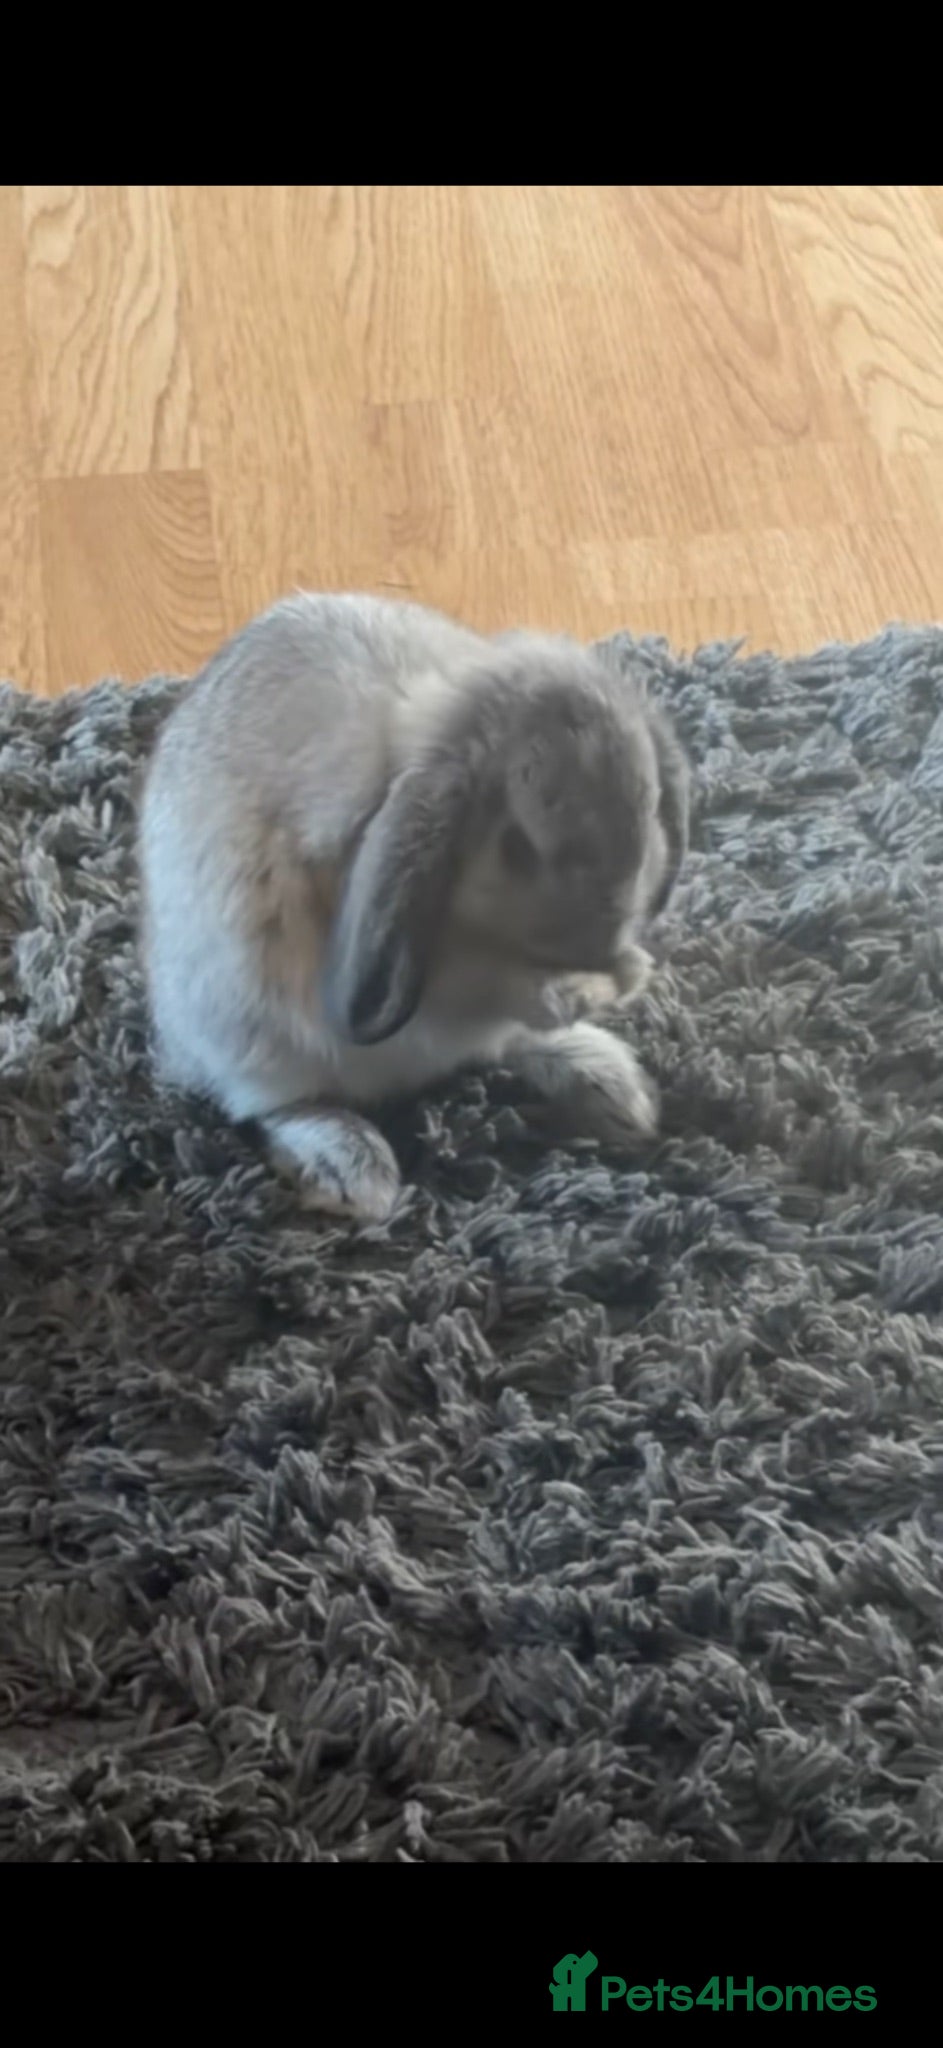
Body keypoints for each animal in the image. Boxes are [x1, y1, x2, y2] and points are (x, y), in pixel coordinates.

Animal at [138, 591, 688, 1223]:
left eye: (651, 812)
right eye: (516, 847)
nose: (601, 944)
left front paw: (630, 972)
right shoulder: (427, 982)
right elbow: (489, 988)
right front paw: (575, 990)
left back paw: (614, 1090)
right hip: (252, 1041)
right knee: (273, 1107)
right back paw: (352, 1171)